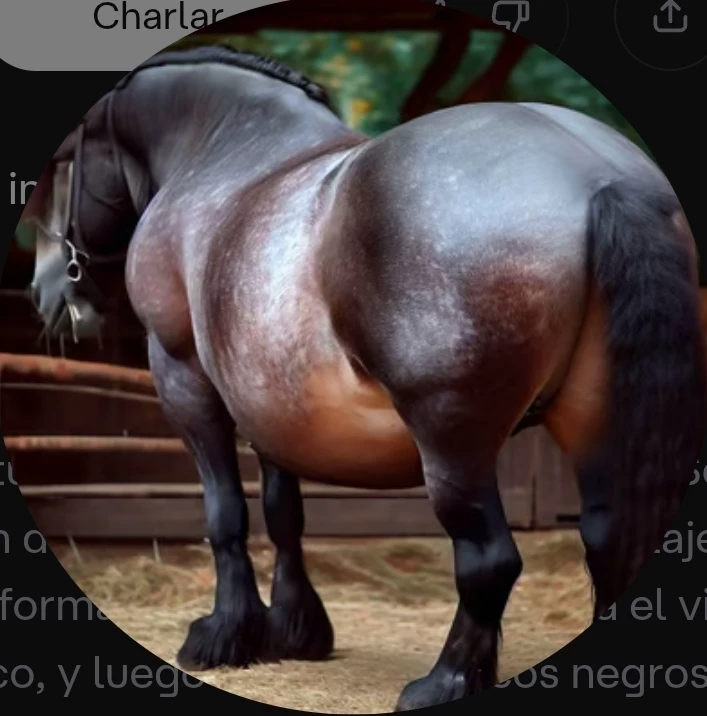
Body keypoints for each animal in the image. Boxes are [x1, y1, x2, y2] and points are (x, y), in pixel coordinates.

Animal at [22, 45, 707, 710]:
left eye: (61, 164)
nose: (44, 290)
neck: (225, 148)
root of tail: (600, 174)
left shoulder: (184, 377)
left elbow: (225, 515)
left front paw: (223, 634)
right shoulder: (268, 398)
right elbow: (283, 513)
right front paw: (295, 631)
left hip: (451, 436)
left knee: (489, 559)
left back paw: (442, 682)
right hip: (594, 418)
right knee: (609, 535)